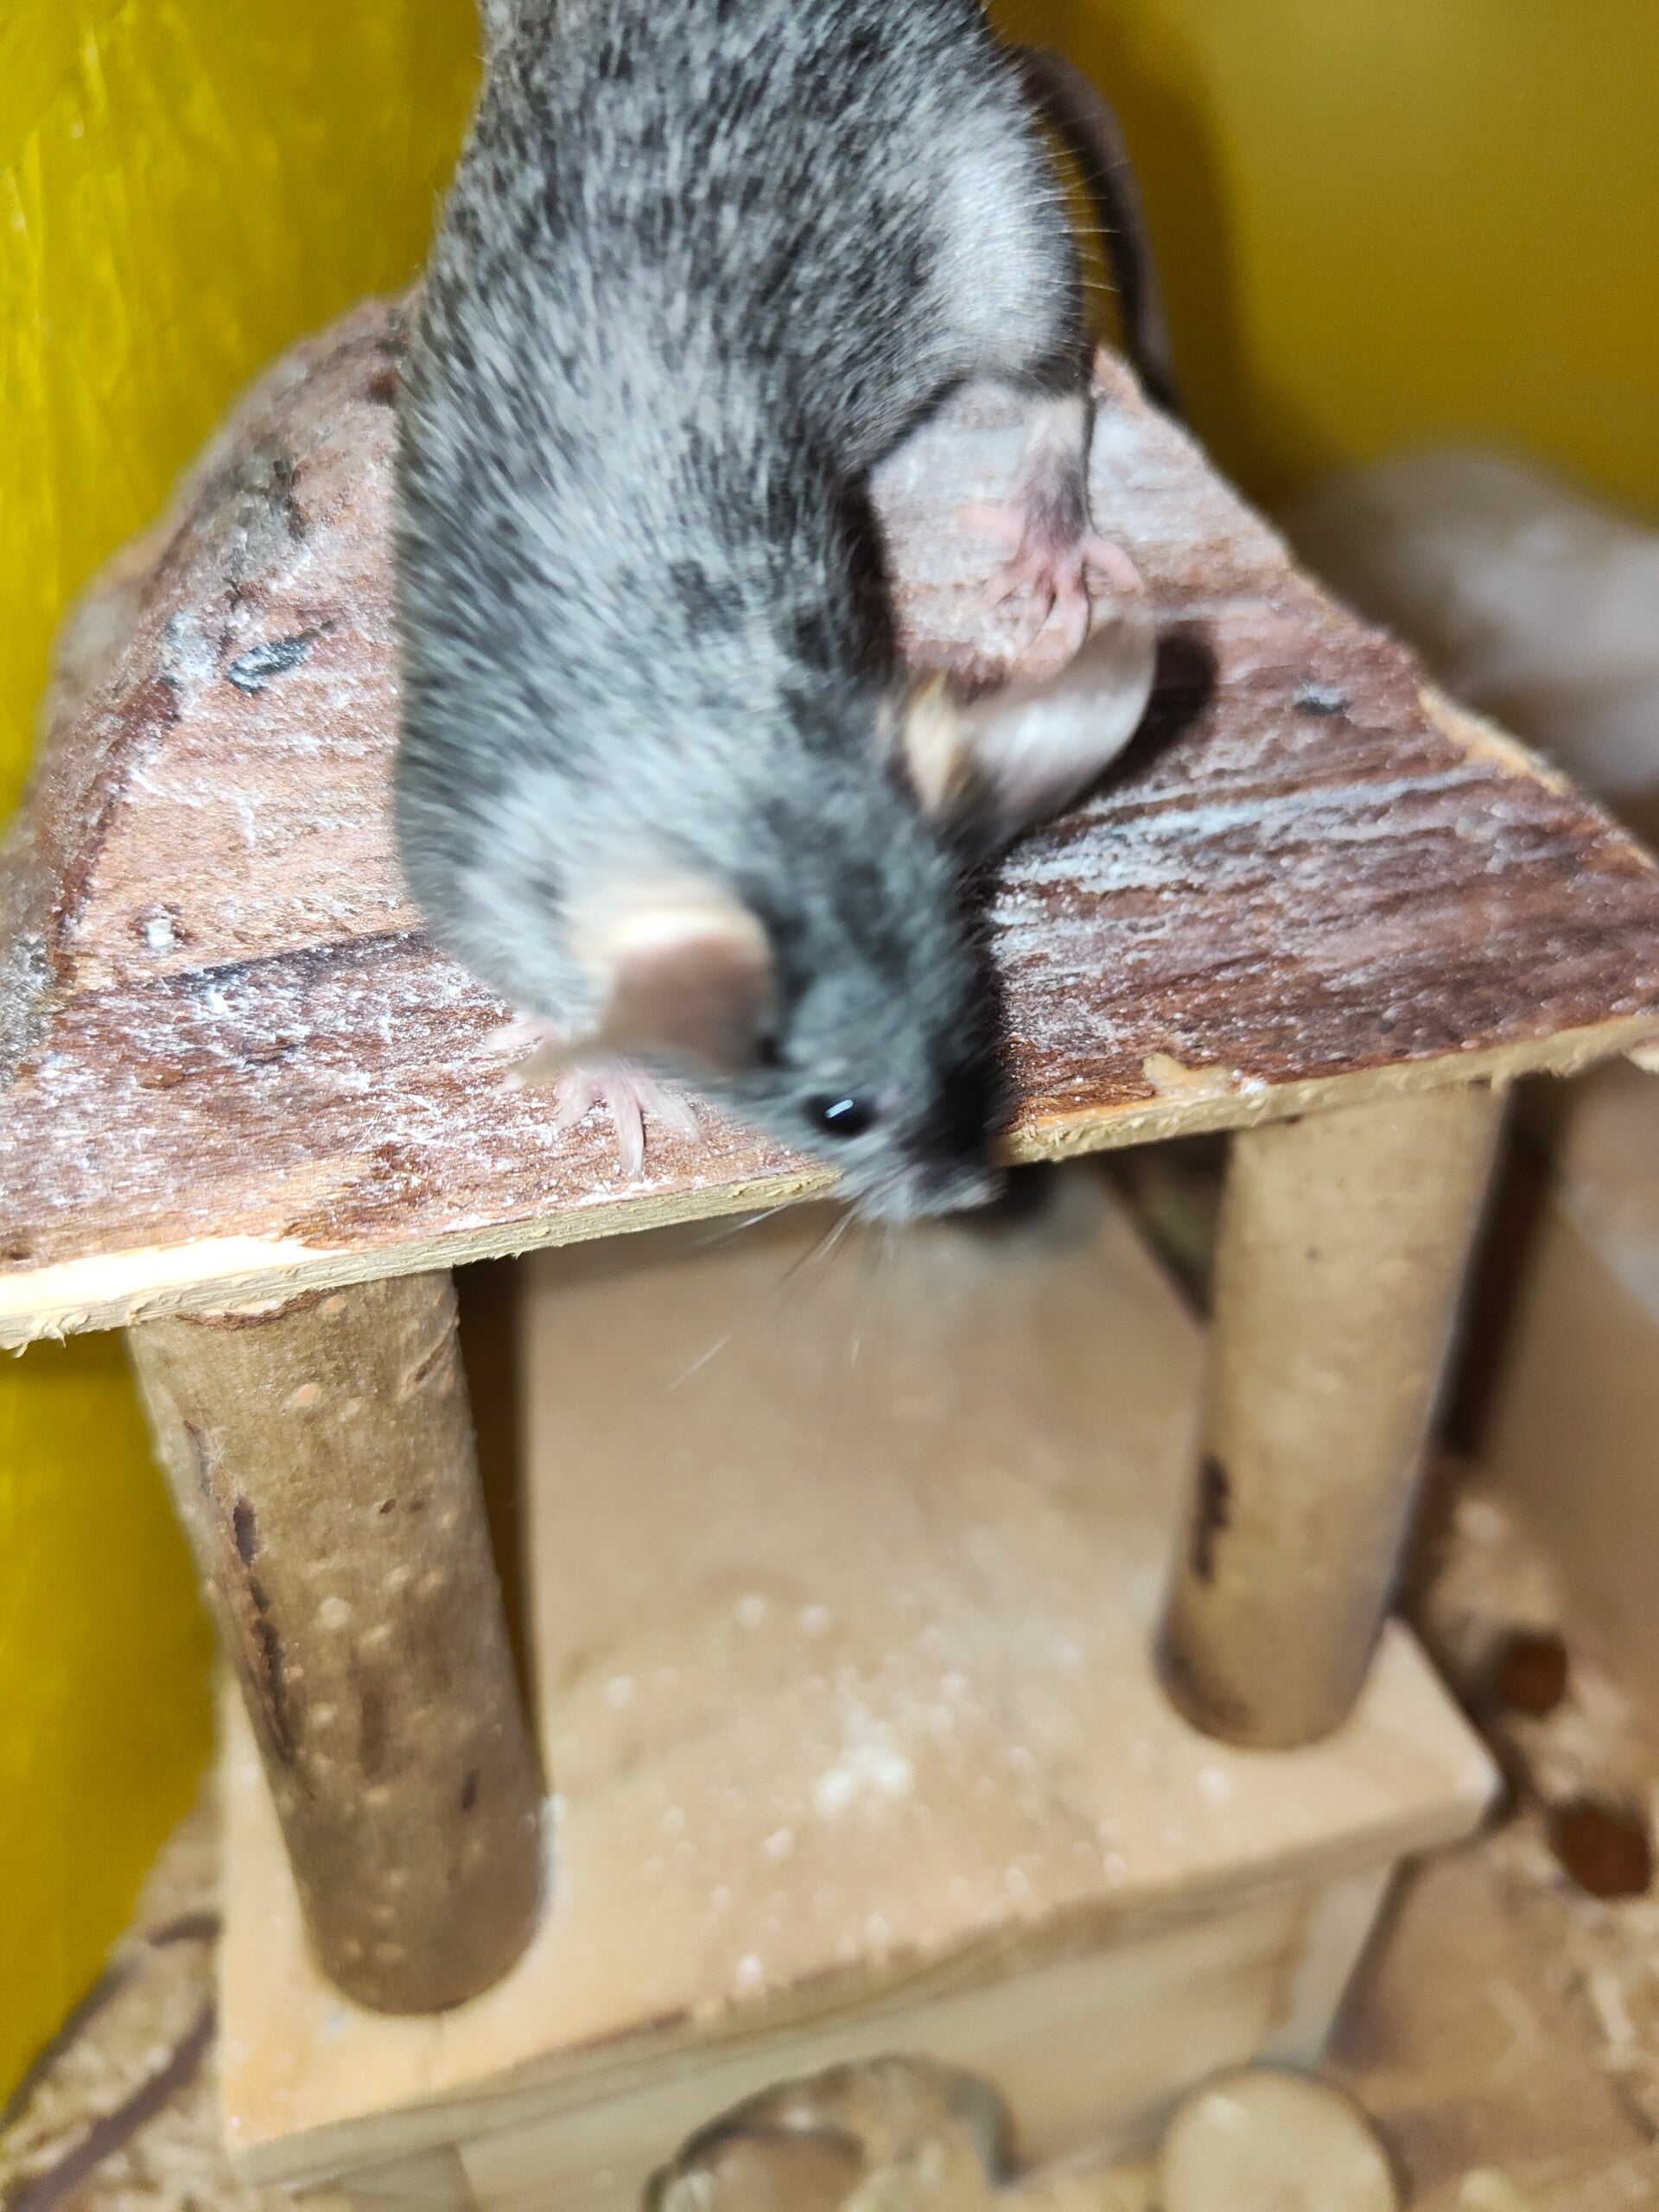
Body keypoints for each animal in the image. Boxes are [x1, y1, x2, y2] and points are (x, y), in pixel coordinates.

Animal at [392, 0, 1156, 1221]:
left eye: (971, 1019)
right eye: (838, 1111)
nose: (971, 1195)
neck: (713, 720)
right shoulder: (460, 833)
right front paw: (608, 1069)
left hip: (998, 207)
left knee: (1058, 373)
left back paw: (1048, 519)